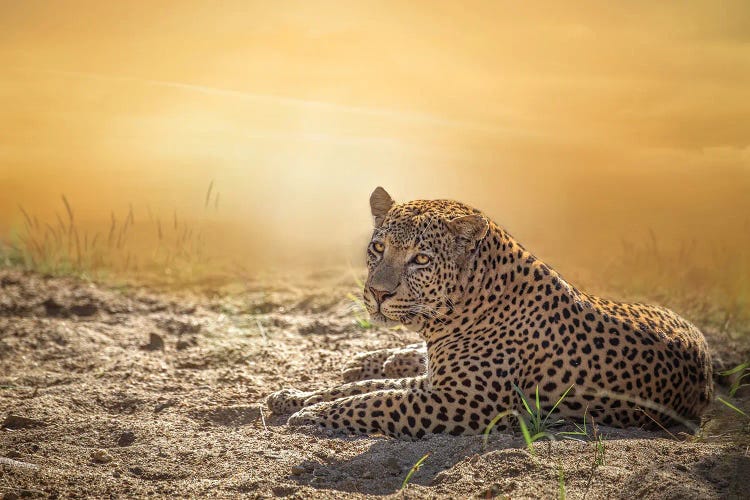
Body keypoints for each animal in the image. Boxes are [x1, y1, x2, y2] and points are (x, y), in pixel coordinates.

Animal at [268, 188, 712, 438]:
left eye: (420, 259)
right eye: (378, 248)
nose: (378, 293)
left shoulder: (462, 400)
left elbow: (374, 401)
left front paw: (310, 414)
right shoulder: (438, 384)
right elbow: (361, 389)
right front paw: (293, 397)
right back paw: (372, 358)